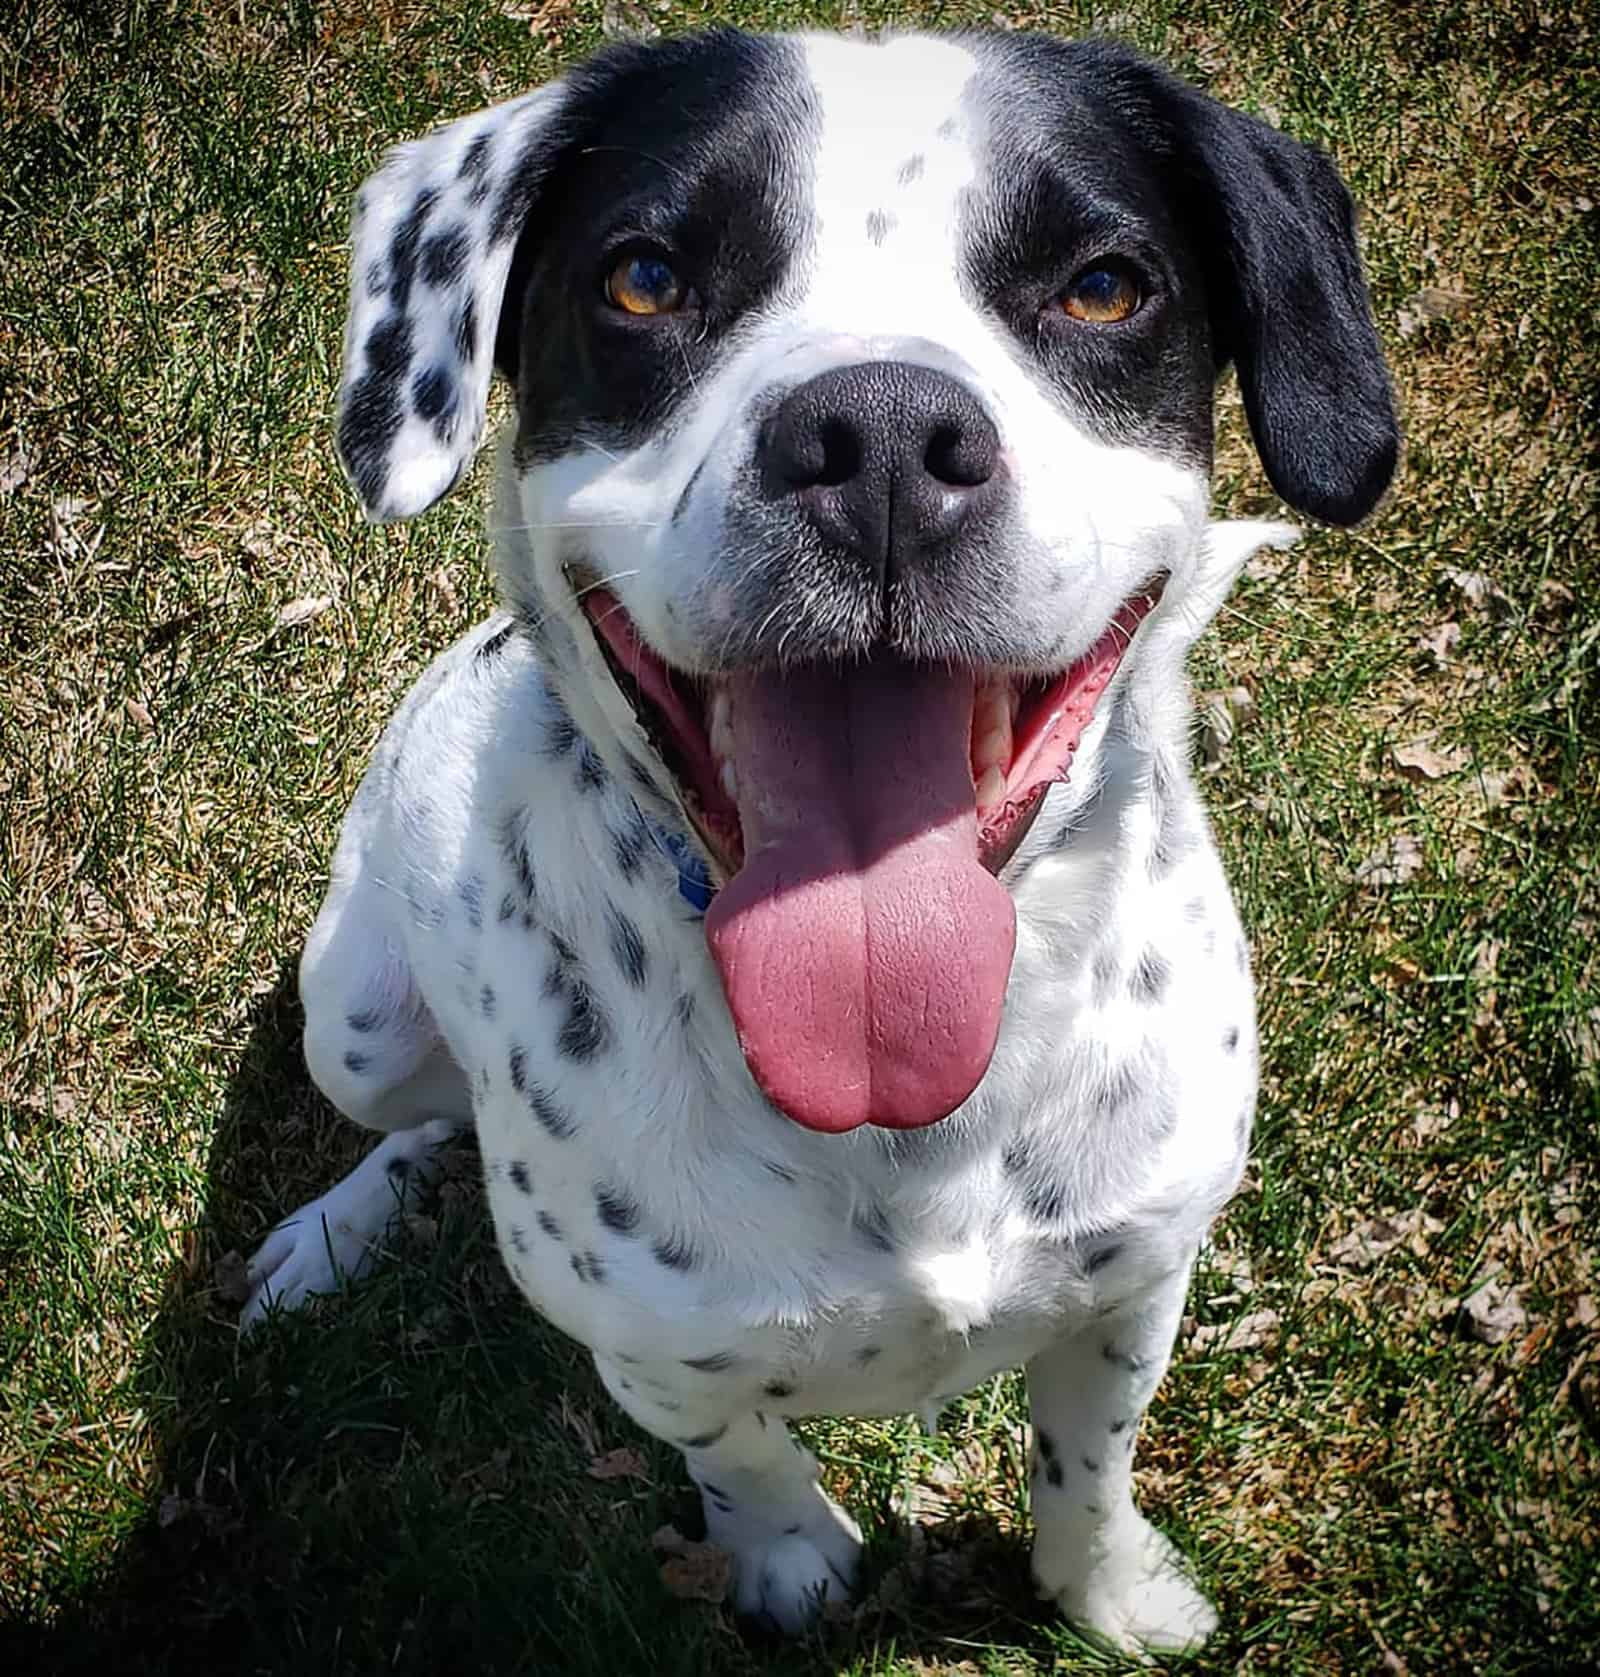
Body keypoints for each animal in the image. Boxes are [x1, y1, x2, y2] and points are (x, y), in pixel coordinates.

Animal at [239, 26, 1395, 1650]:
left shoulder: (1135, 1287)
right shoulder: (656, 1359)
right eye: (644, 276)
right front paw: (792, 1563)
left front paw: (1104, 1591)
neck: (906, 1104)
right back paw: (335, 1231)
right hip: (347, 1015)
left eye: (1104, 286)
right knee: (417, 1115)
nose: (883, 441)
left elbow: (1087, 1466)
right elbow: (743, 1458)